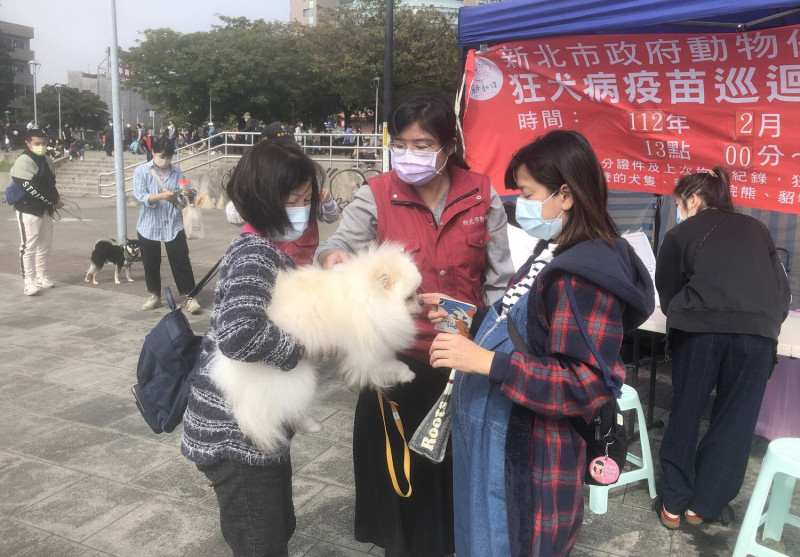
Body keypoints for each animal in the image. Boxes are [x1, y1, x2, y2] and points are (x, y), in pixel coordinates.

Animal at [206, 243, 422, 452]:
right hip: (294, 374)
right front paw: (407, 374)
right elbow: (388, 365)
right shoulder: (368, 354)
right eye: (409, 297)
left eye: (416, 292)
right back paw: (312, 425)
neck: (369, 297)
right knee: (292, 407)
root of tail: (231, 369)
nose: (421, 302)